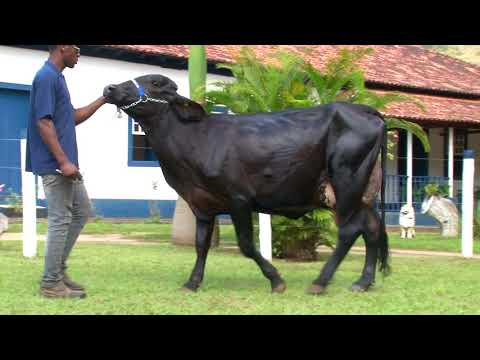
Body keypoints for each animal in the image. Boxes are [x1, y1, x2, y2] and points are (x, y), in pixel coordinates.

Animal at [104, 74, 390, 294]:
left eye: (154, 82)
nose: (110, 88)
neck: (194, 139)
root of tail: (363, 109)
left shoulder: (239, 199)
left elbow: (246, 245)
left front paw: (276, 280)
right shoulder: (202, 204)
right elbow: (200, 244)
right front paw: (192, 283)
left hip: (346, 183)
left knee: (349, 230)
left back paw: (320, 282)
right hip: (361, 193)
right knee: (372, 228)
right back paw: (363, 282)